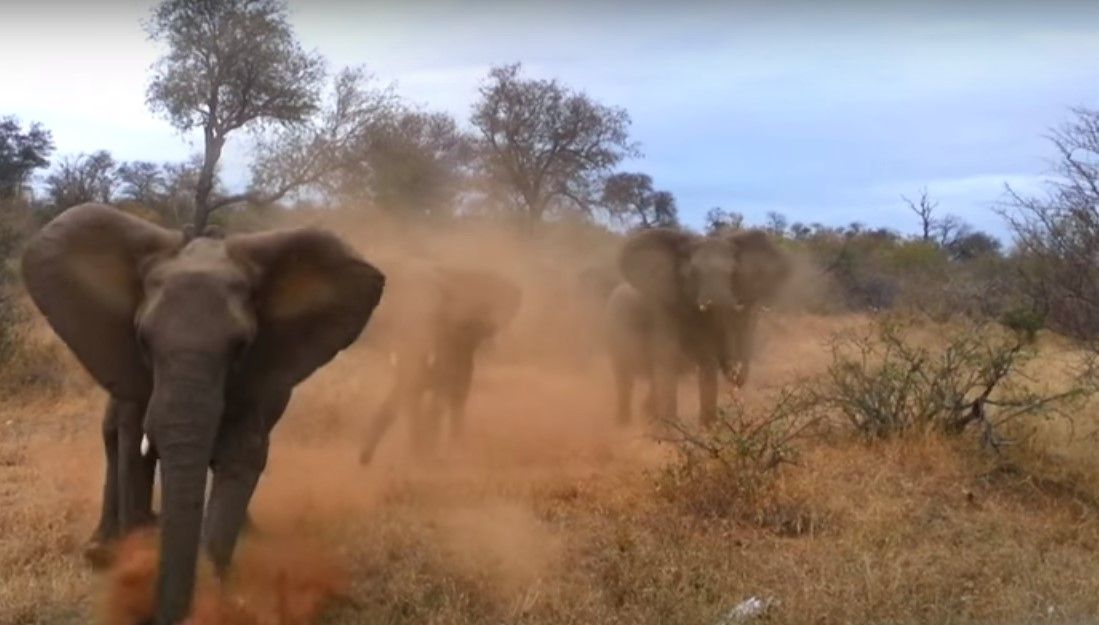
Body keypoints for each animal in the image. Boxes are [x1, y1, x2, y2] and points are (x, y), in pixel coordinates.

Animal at [21, 203, 384, 625]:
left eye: (241, 346)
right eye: (143, 340)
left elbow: (241, 458)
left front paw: (212, 594)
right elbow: (134, 453)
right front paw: (136, 563)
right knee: (111, 435)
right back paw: (101, 548)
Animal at [358, 265, 521, 464]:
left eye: (439, 316)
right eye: (393, 321)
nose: (362, 459)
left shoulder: (448, 343)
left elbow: (438, 398)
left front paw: (429, 457)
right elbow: (407, 393)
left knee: (454, 400)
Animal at [604, 227, 790, 427]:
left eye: (734, 272)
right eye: (693, 273)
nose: (735, 374)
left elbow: (707, 362)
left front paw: (708, 428)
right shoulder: (664, 311)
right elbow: (667, 358)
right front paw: (671, 430)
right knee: (624, 379)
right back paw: (624, 425)